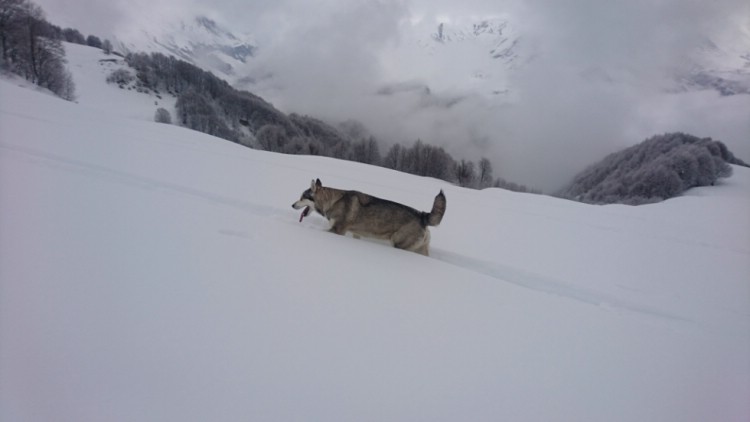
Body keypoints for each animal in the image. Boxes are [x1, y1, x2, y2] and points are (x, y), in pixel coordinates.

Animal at [294, 177, 446, 254]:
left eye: (302, 197)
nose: (292, 205)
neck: (333, 201)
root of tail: (423, 216)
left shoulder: (337, 231)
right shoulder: (355, 233)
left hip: (398, 243)